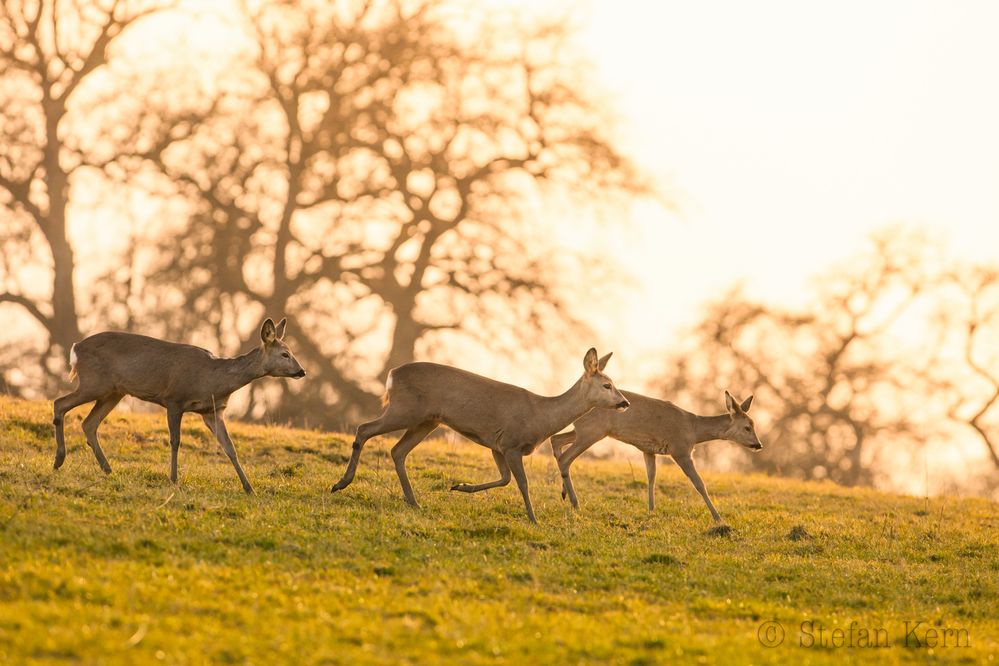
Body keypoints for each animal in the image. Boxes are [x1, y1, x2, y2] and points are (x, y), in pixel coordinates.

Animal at [328, 344, 628, 520]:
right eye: (607, 385)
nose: (624, 402)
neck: (541, 417)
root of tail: (391, 374)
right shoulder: (511, 443)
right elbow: (522, 482)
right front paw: (533, 518)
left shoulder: (497, 445)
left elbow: (504, 479)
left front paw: (460, 486)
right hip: (405, 409)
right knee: (364, 429)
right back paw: (341, 483)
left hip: (426, 420)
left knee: (397, 451)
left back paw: (413, 502)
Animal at [552, 390, 760, 524]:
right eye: (747, 427)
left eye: (753, 424)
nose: (758, 445)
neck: (693, 430)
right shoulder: (680, 450)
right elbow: (699, 484)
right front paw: (718, 518)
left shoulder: (648, 449)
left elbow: (651, 478)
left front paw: (651, 510)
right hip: (593, 430)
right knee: (565, 457)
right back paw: (575, 503)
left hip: (585, 430)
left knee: (556, 440)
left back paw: (564, 493)